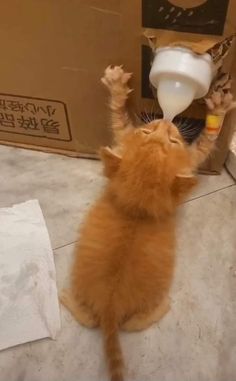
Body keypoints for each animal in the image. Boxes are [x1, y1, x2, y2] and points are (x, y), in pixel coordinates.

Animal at [60, 66, 234, 380]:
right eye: (147, 131)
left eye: (172, 140)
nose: (166, 121)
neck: (137, 206)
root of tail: (109, 310)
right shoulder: (189, 158)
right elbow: (203, 142)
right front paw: (219, 110)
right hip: (139, 313)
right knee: (135, 323)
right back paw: (163, 306)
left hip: (90, 306)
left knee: (88, 319)